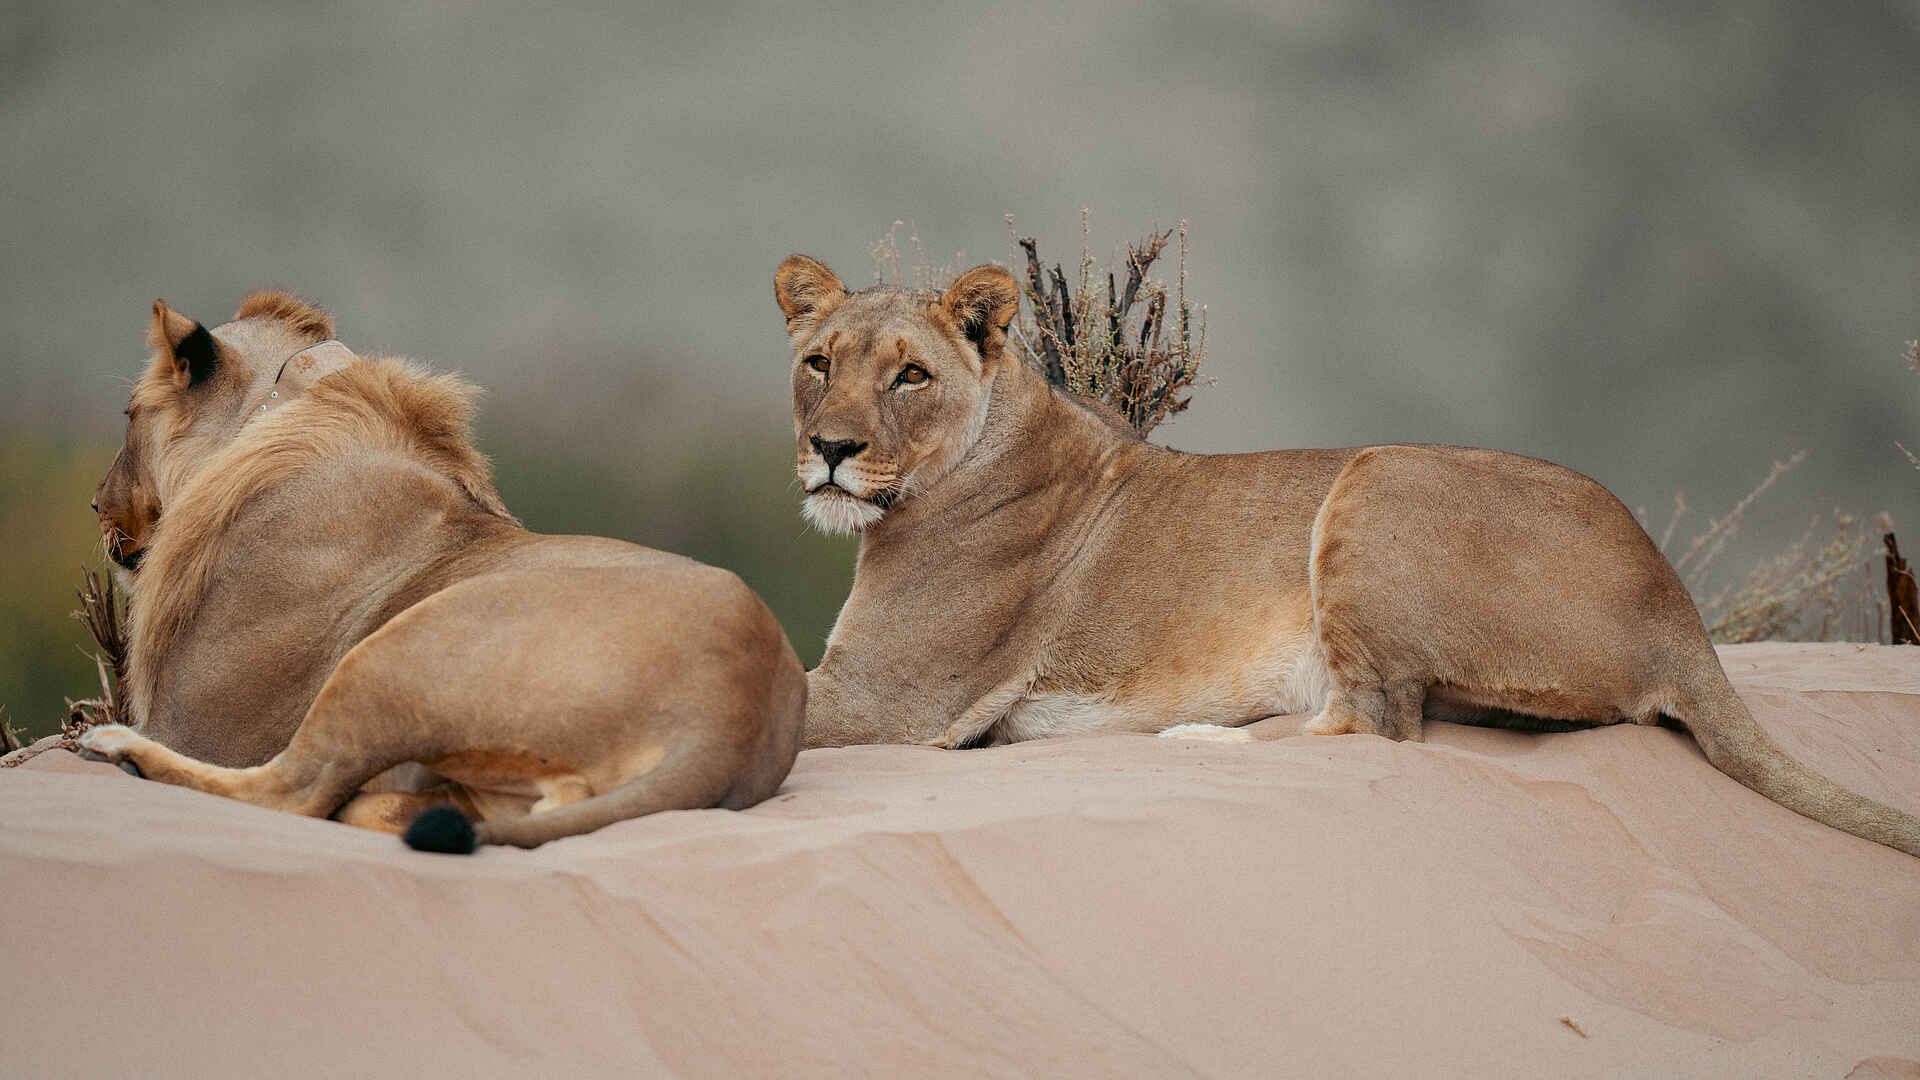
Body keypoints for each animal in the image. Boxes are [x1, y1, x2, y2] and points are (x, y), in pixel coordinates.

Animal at [78, 292, 805, 851]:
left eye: (128, 414)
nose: (95, 503)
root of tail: (729, 719)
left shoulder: (200, 727)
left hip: (395, 651)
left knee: (294, 792)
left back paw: (116, 749)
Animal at [772, 254, 1920, 858]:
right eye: (818, 363)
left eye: (910, 376)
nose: (831, 450)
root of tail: (1679, 609)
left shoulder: (894, 702)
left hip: (1378, 474)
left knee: (1378, 726)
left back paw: (1197, 738)